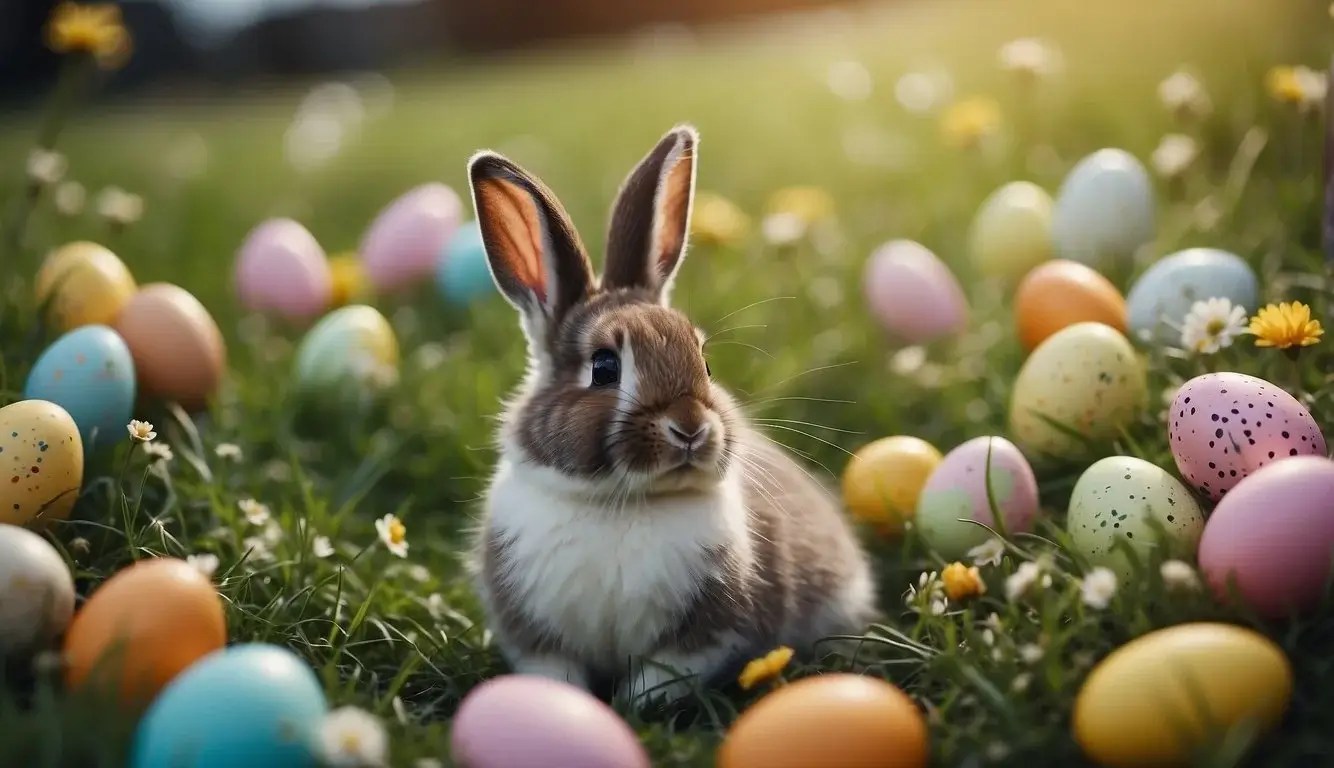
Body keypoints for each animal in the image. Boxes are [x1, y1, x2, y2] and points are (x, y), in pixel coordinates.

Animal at [465, 124, 878, 706]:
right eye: (604, 366)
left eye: (704, 361)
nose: (690, 427)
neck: (622, 502)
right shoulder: (536, 640)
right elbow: (555, 674)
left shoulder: (704, 637)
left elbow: (661, 675)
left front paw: (633, 706)